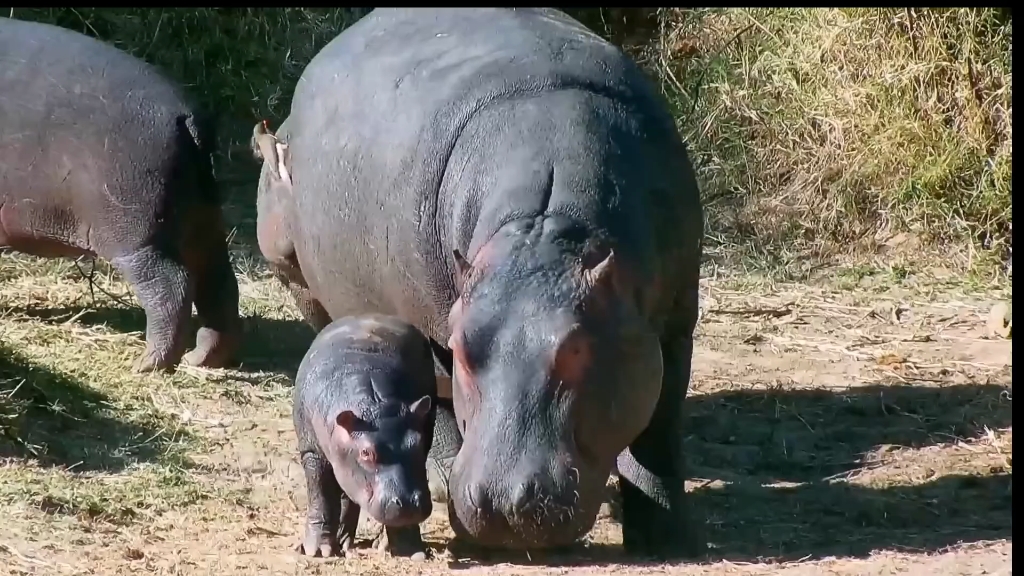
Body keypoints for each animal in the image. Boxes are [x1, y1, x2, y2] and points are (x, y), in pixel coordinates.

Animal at [292, 313, 436, 557]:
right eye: (366, 452)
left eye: (418, 444)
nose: (409, 504)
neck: (375, 403)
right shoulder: (312, 452)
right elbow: (321, 497)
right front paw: (318, 551)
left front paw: (410, 550)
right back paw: (342, 543)